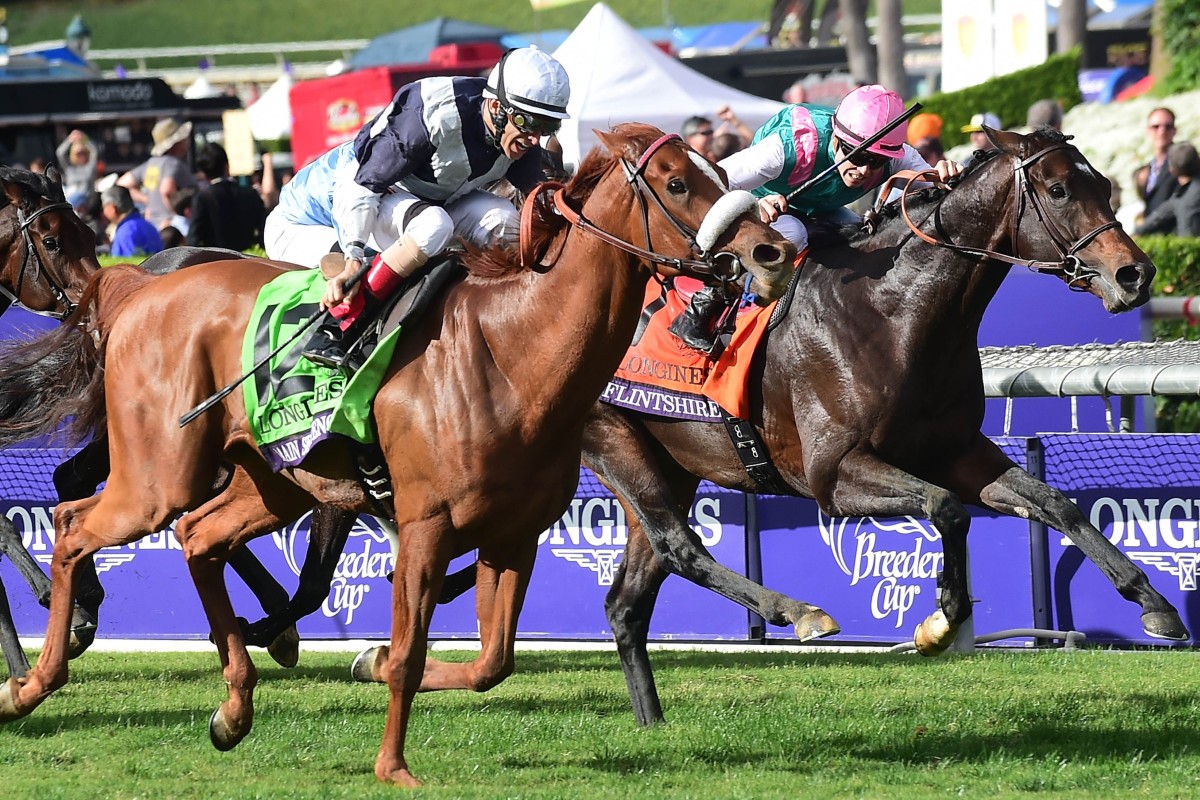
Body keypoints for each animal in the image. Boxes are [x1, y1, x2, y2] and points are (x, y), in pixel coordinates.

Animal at [0, 128, 796, 786]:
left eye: (719, 170)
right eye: (677, 183)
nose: (772, 252)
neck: (513, 350)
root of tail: (131, 285)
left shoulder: (512, 536)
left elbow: (491, 663)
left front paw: (367, 659)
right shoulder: (424, 527)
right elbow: (412, 651)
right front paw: (393, 764)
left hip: (275, 484)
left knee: (198, 536)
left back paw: (234, 703)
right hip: (158, 475)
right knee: (74, 524)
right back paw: (34, 681)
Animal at [580, 125, 1190, 724]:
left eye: (1105, 186)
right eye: (1059, 190)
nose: (1135, 274)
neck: (890, 313)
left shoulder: (957, 451)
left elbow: (1055, 504)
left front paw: (1155, 605)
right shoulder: (833, 476)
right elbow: (946, 508)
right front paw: (941, 622)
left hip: (674, 465)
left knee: (627, 603)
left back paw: (653, 721)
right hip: (616, 445)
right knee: (678, 548)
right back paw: (799, 613)